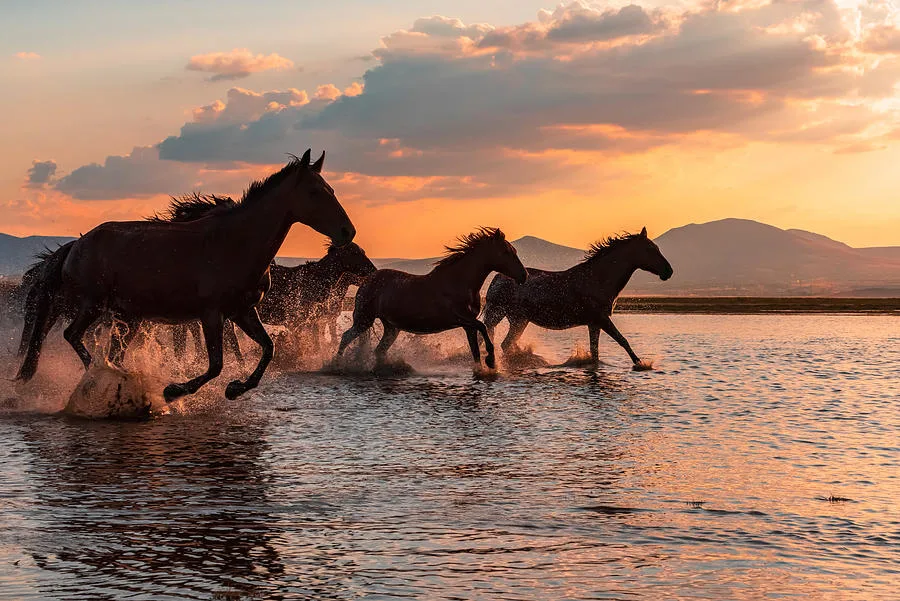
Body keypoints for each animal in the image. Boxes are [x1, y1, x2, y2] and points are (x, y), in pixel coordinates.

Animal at [16, 149, 356, 402]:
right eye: (315, 192)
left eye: (332, 190)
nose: (347, 231)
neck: (235, 243)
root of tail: (76, 244)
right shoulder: (211, 314)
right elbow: (216, 364)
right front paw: (174, 390)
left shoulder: (243, 311)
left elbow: (268, 348)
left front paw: (236, 388)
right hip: (93, 305)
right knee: (72, 335)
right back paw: (105, 376)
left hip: (127, 316)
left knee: (111, 350)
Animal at [336, 228, 527, 370]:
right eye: (506, 252)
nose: (524, 276)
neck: (459, 282)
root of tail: (367, 280)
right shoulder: (461, 318)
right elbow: (483, 327)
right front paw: (491, 361)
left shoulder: (468, 325)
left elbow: (475, 350)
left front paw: (483, 368)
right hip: (364, 320)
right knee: (346, 337)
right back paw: (336, 365)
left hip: (391, 327)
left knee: (379, 350)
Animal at [482, 227, 673, 368]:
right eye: (650, 249)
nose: (668, 271)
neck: (599, 279)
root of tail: (497, 278)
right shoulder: (602, 319)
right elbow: (623, 341)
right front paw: (641, 364)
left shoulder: (594, 323)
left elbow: (595, 352)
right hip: (508, 317)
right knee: (504, 343)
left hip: (515, 319)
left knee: (504, 343)